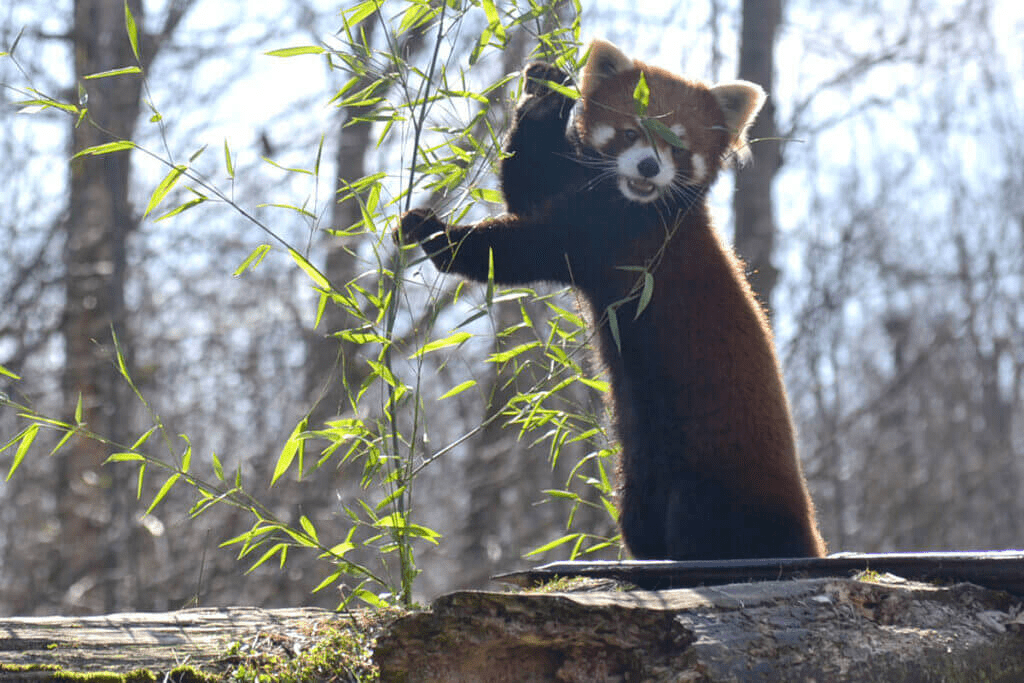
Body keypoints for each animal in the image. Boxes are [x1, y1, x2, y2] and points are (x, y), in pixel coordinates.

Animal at [395, 38, 827, 561]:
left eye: (676, 147)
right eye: (629, 133)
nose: (648, 166)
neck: (633, 200)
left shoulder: (612, 240)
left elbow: (517, 248)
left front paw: (433, 231)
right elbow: (528, 184)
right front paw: (546, 88)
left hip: (717, 472)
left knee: (703, 521)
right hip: (638, 469)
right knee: (640, 517)